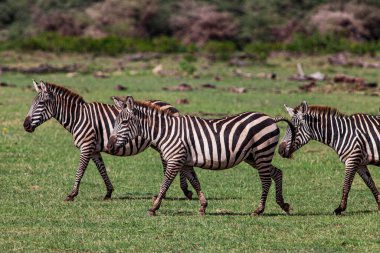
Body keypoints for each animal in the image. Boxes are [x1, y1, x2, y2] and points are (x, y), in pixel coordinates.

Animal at [23, 81, 196, 202]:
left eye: (40, 103)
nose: (25, 125)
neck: (78, 117)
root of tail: (171, 106)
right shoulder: (94, 149)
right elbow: (102, 169)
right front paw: (108, 192)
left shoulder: (86, 146)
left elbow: (80, 170)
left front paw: (72, 194)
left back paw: (184, 191)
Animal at [105, 96, 296, 216]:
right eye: (115, 122)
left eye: (124, 121)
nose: (108, 145)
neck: (166, 132)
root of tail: (270, 118)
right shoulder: (185, 162)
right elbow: (195, 182)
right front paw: (203, 206)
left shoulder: (175, 159)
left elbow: (164, 184)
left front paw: (154, 208)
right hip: (253, 156)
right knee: (277, 172)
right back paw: (283, 204)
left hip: (262, 152)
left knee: (266, 180)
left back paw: (259, 210)